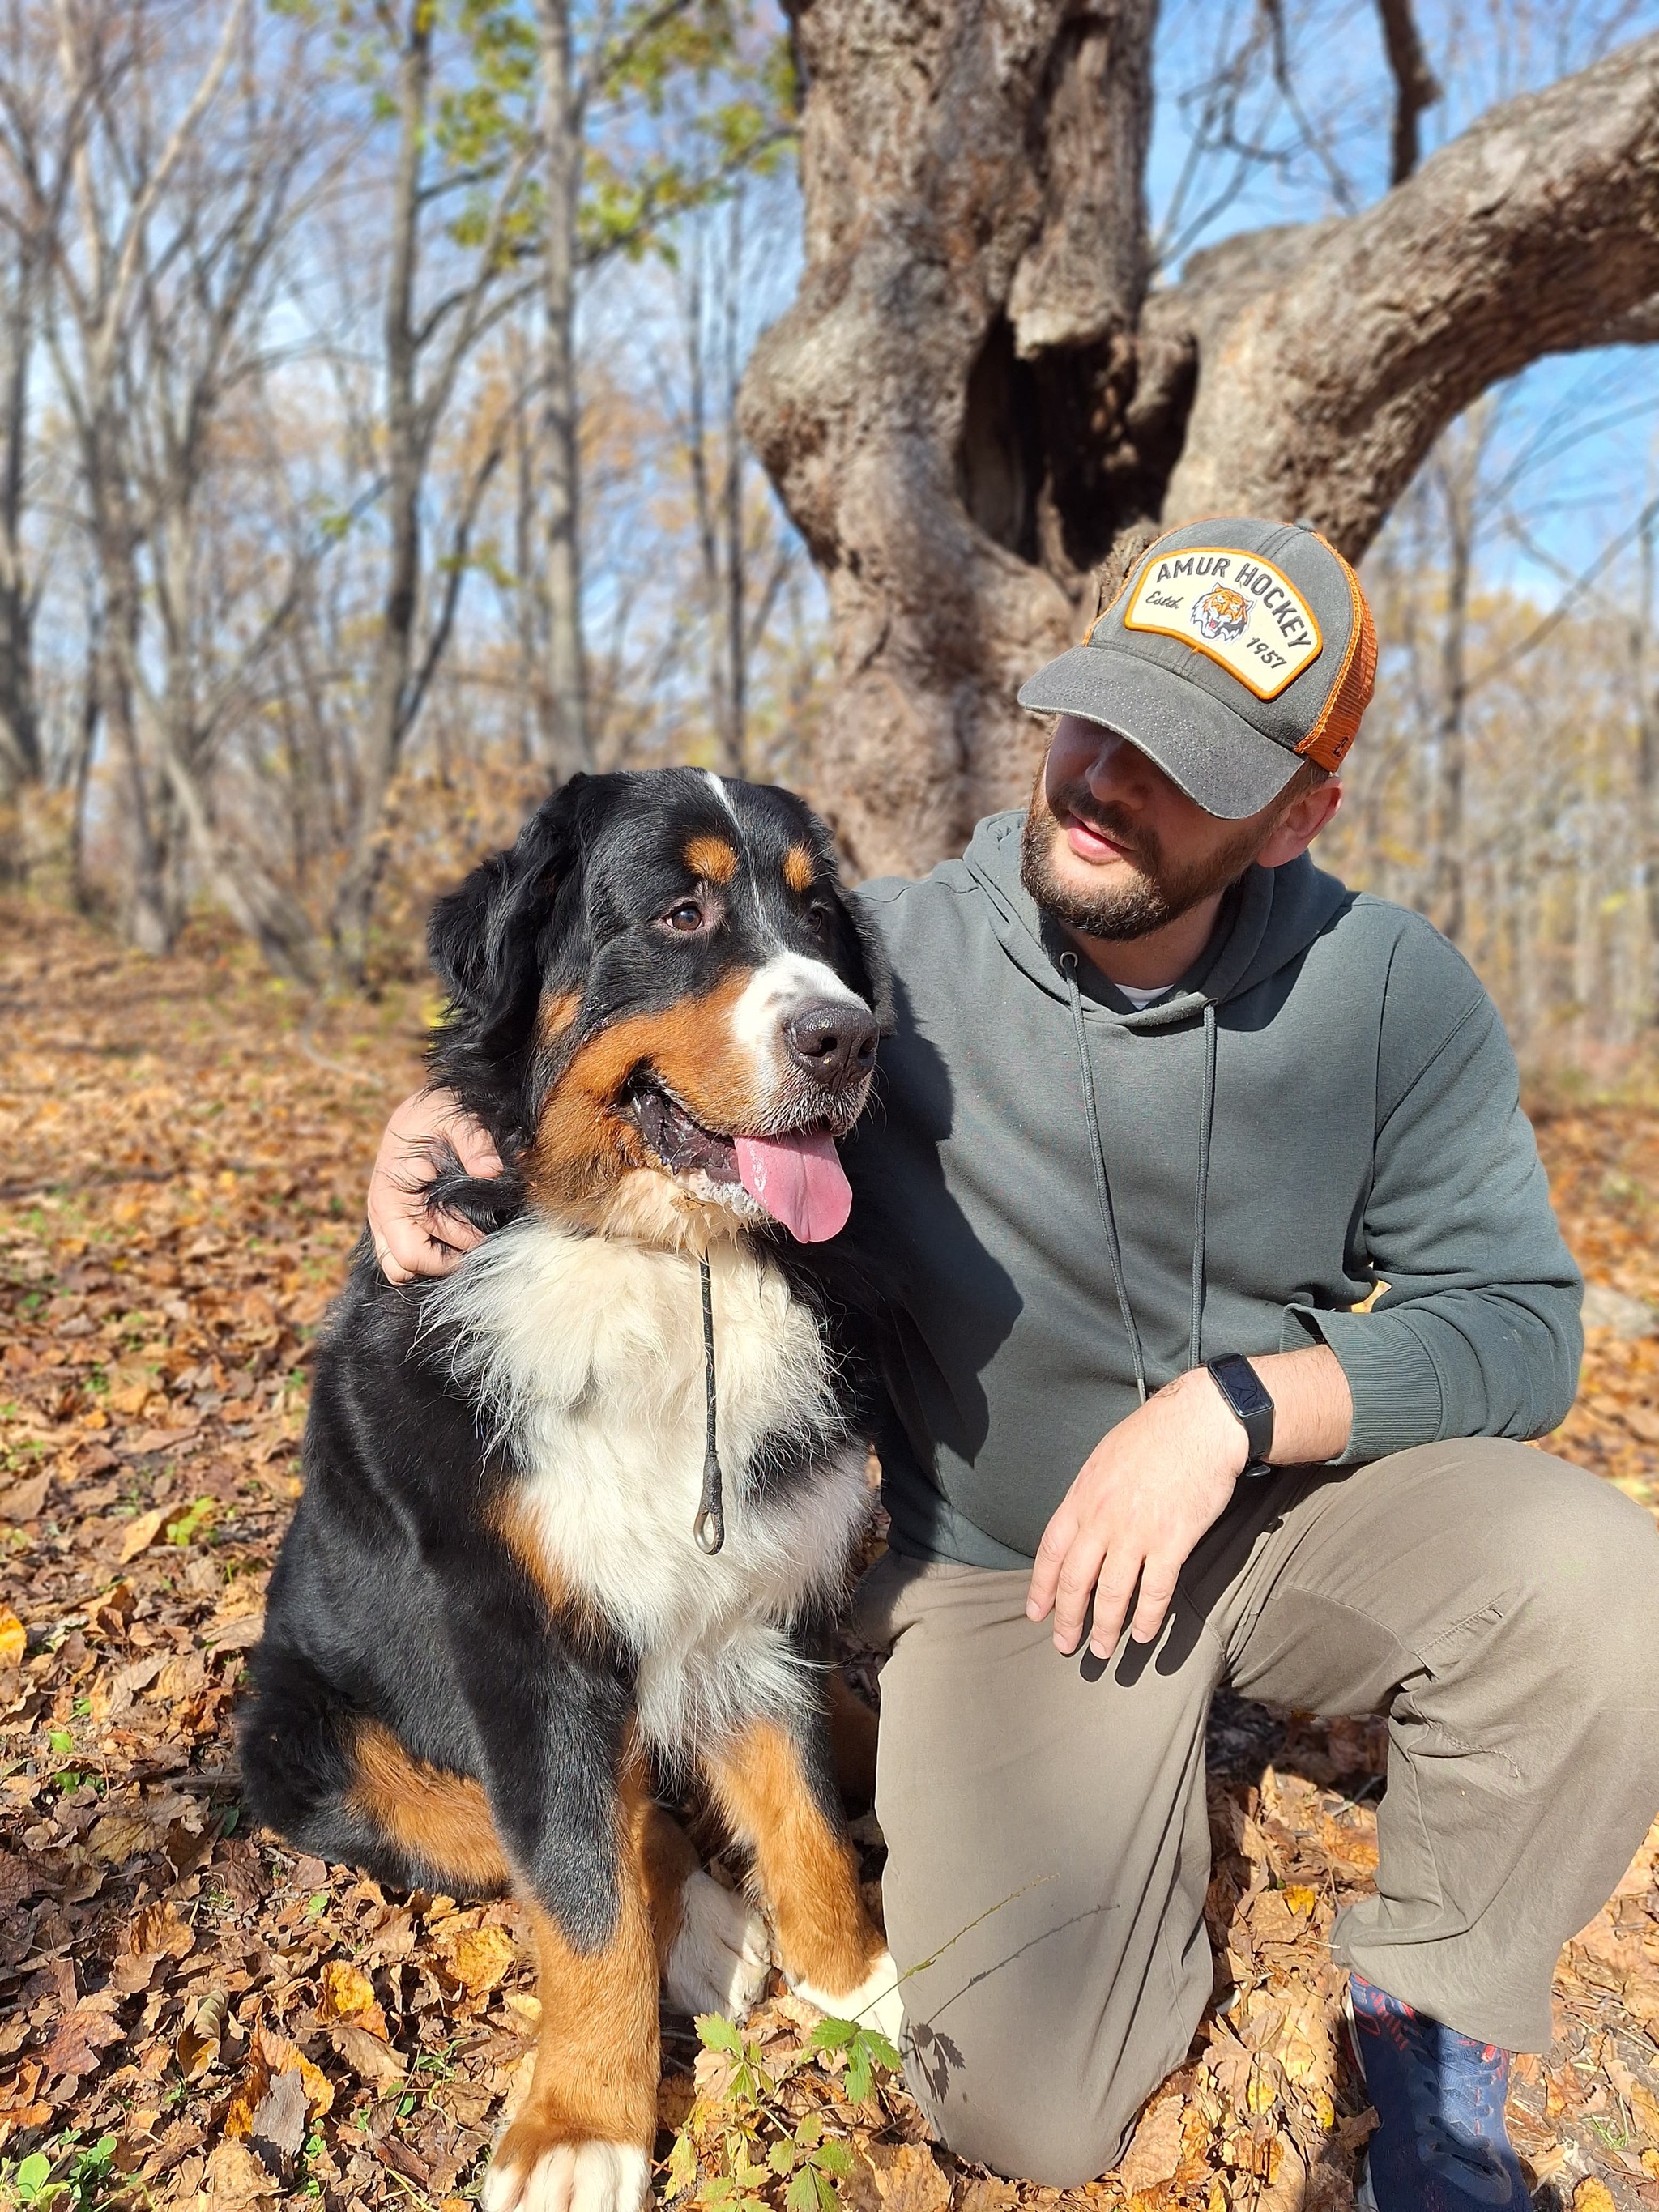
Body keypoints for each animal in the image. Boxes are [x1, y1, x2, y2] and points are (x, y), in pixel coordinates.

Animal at [240, 765, 902, 2212]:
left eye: (822, 917)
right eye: (680, 911)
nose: (849, 1037)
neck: (663, 1263)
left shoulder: (757, 1593)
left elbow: (807, 1817)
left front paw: (858, 1978)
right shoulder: (521, 1637)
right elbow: (581, 1886)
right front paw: (579, 2125)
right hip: (307, 1738)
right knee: (542, 1818)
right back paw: (701, 1927)